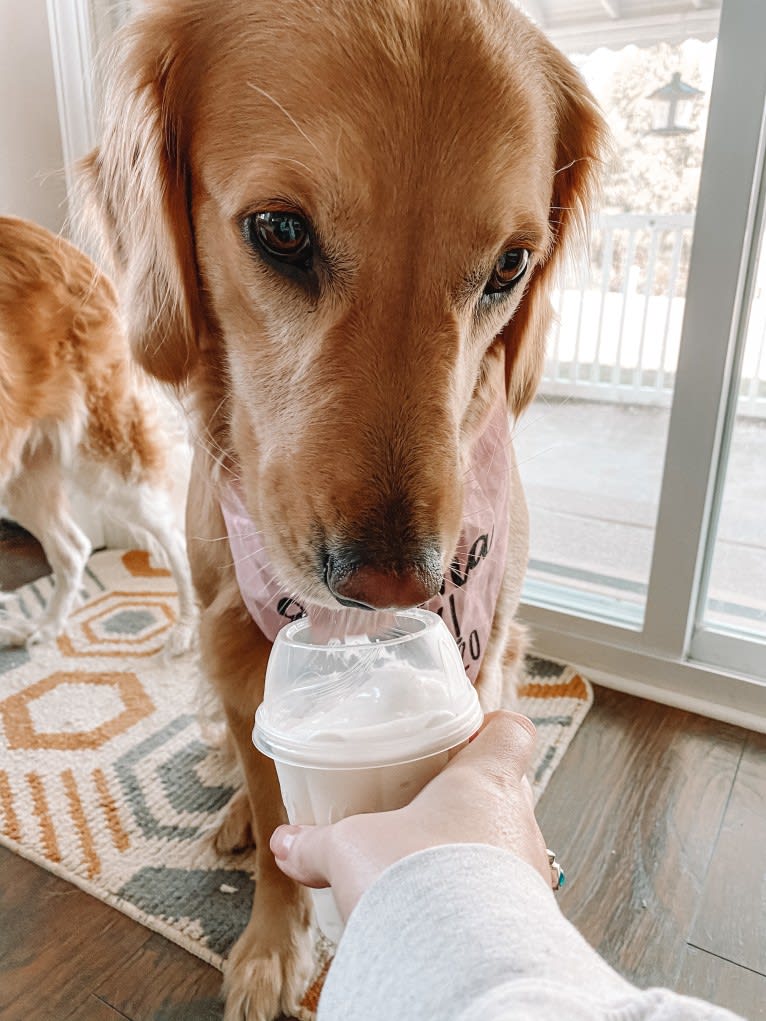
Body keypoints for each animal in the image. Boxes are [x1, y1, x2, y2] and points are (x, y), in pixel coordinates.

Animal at [0, 217, 198, 653]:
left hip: (103, 452)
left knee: (174, 533)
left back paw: (186, 628)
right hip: (22, 473)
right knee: (74, 550)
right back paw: (47, 626)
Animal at [81, 3, 608, 1016]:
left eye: (511, 265)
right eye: (281, 231)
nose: (397, 586)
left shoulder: (482, 653)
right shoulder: (234, 643)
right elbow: (274, 805)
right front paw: (271, 946)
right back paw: (238, 817)